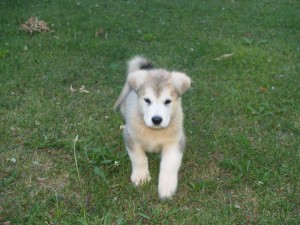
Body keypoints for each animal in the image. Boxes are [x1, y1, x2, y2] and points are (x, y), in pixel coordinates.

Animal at [113, 56, 191, 199]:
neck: (154, 132)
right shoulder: (131, 138)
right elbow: (139, 159)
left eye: (168, 101)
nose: (156, 120)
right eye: (147, 100)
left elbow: (169, 165)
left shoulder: (175, 142)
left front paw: (167, 187)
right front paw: (141, 177)